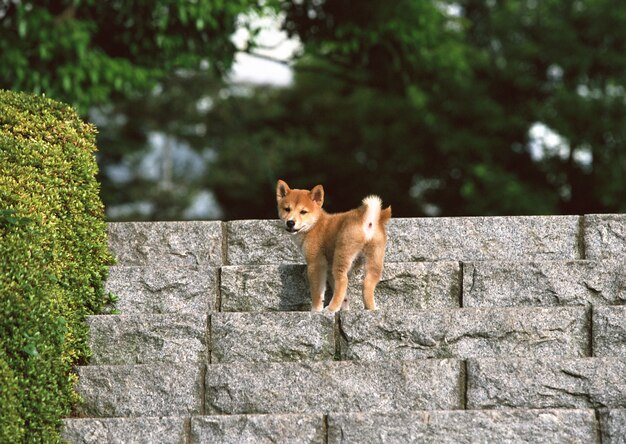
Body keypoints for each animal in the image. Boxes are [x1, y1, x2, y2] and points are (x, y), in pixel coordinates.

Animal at [274, 180, 388, 312]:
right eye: (287, 209)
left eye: (303, 212)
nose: (290, 222)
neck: (314, 225)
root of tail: (367, 221)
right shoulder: (328, 270)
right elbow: (341, 294)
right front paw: (343, 308)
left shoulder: (316, 264)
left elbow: (317, 293)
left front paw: (316, 310)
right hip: (374, 259)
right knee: (367, 284)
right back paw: (371, 308)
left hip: (342, 255)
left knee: (343, 281)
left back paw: (331, 308)